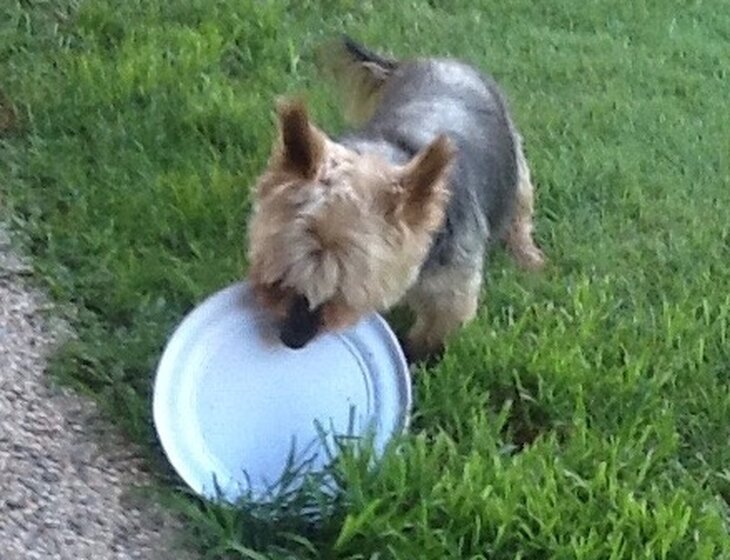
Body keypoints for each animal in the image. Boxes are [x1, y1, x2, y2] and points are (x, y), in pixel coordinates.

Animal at [247, 37, 545, 362]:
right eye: (277, 279)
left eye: (344, 295)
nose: (292, 339)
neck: (387, 156)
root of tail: (437, 59)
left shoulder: (452, 287)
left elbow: (437, 328)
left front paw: (415, 359)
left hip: (516, 160)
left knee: (520, 208)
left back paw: (528, 257)